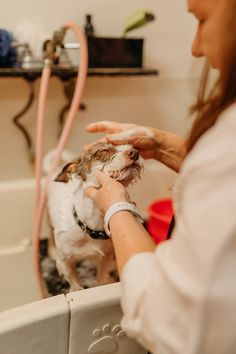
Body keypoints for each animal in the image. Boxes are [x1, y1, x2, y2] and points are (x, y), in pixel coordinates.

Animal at [46, 141, 142, 290]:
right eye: (103, 151)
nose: (135, 153)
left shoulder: (106, 258)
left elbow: (102, 281)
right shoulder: (65, 262)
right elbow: (76, 286)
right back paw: (51, 250)